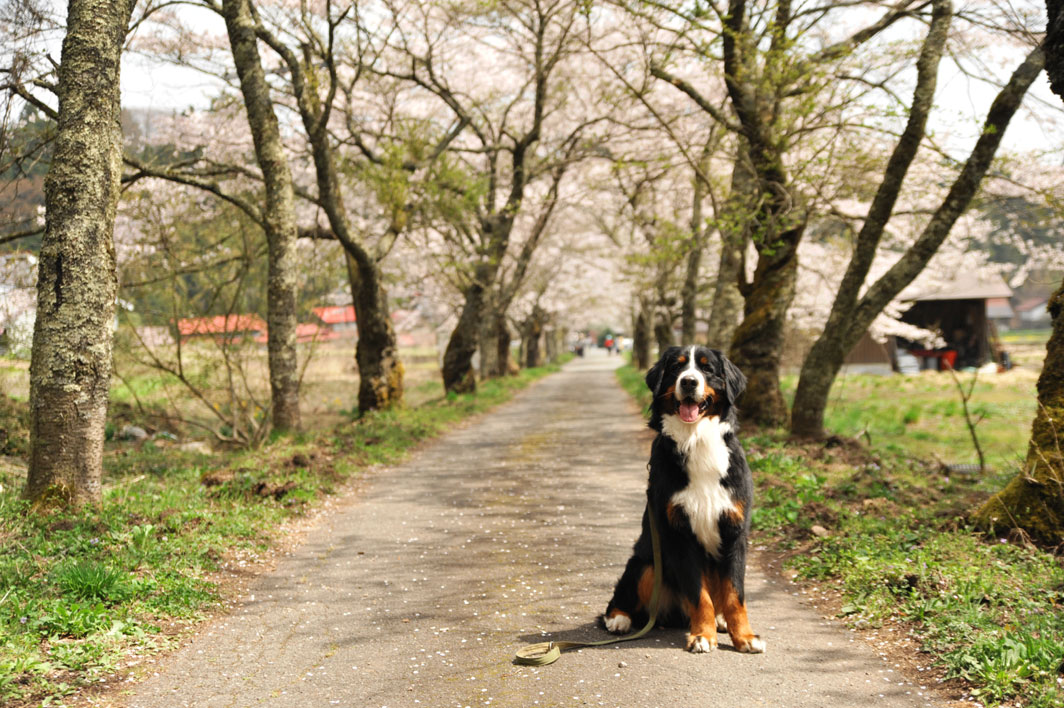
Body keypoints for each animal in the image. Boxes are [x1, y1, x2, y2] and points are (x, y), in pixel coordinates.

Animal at [600, 344, 766, 655]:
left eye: (706, 368)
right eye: (677, 367)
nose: (689, 382)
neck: (696, 440)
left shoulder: (735, 531)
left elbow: (735, 594)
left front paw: (745, 636)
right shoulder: (679, 533)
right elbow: (699, 594)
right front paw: (702, 636)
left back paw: (721, 621)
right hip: (645, 563)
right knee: (620, 599)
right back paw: (618, 619)